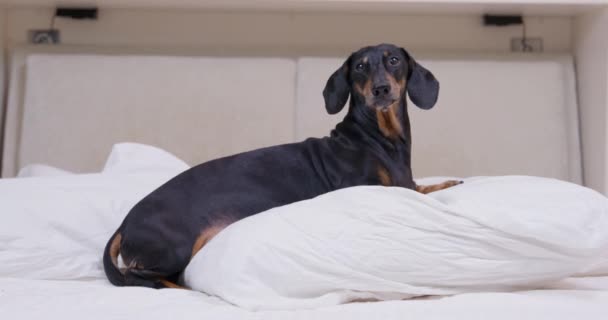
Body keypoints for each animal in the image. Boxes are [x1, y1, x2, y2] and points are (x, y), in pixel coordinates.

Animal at [102, 43, 460, 288]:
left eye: (394, 60)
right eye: (360, 66)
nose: (381, 89)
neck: (377, 139)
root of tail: (125, 223)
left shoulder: (405, 183)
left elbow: (421, 186)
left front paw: (451, 182)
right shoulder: (368, 188)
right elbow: (414, 193)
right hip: (175, 247)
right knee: (136, 274)